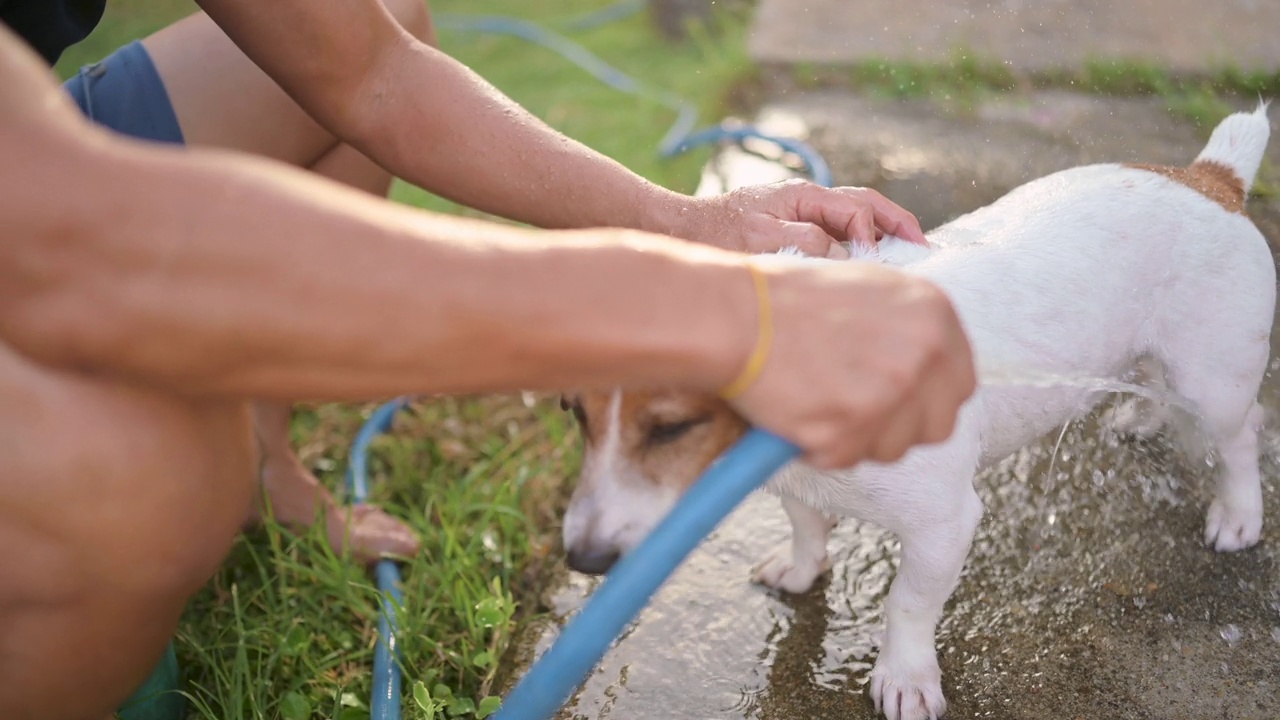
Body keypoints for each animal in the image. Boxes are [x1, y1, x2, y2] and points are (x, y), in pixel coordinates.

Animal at [558, 103, 1269, 712]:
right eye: (574, 412)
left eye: (672, 427)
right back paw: (1139, 419)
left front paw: (903, 679)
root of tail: (1209, 176)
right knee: (1151, 379)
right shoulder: (794, 485)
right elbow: (806, 527)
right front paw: (801, 569)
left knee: (1239, 441)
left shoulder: (944, 524)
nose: (583, 561)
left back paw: (1238, 516)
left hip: (1215, 382)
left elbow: (907, 604)